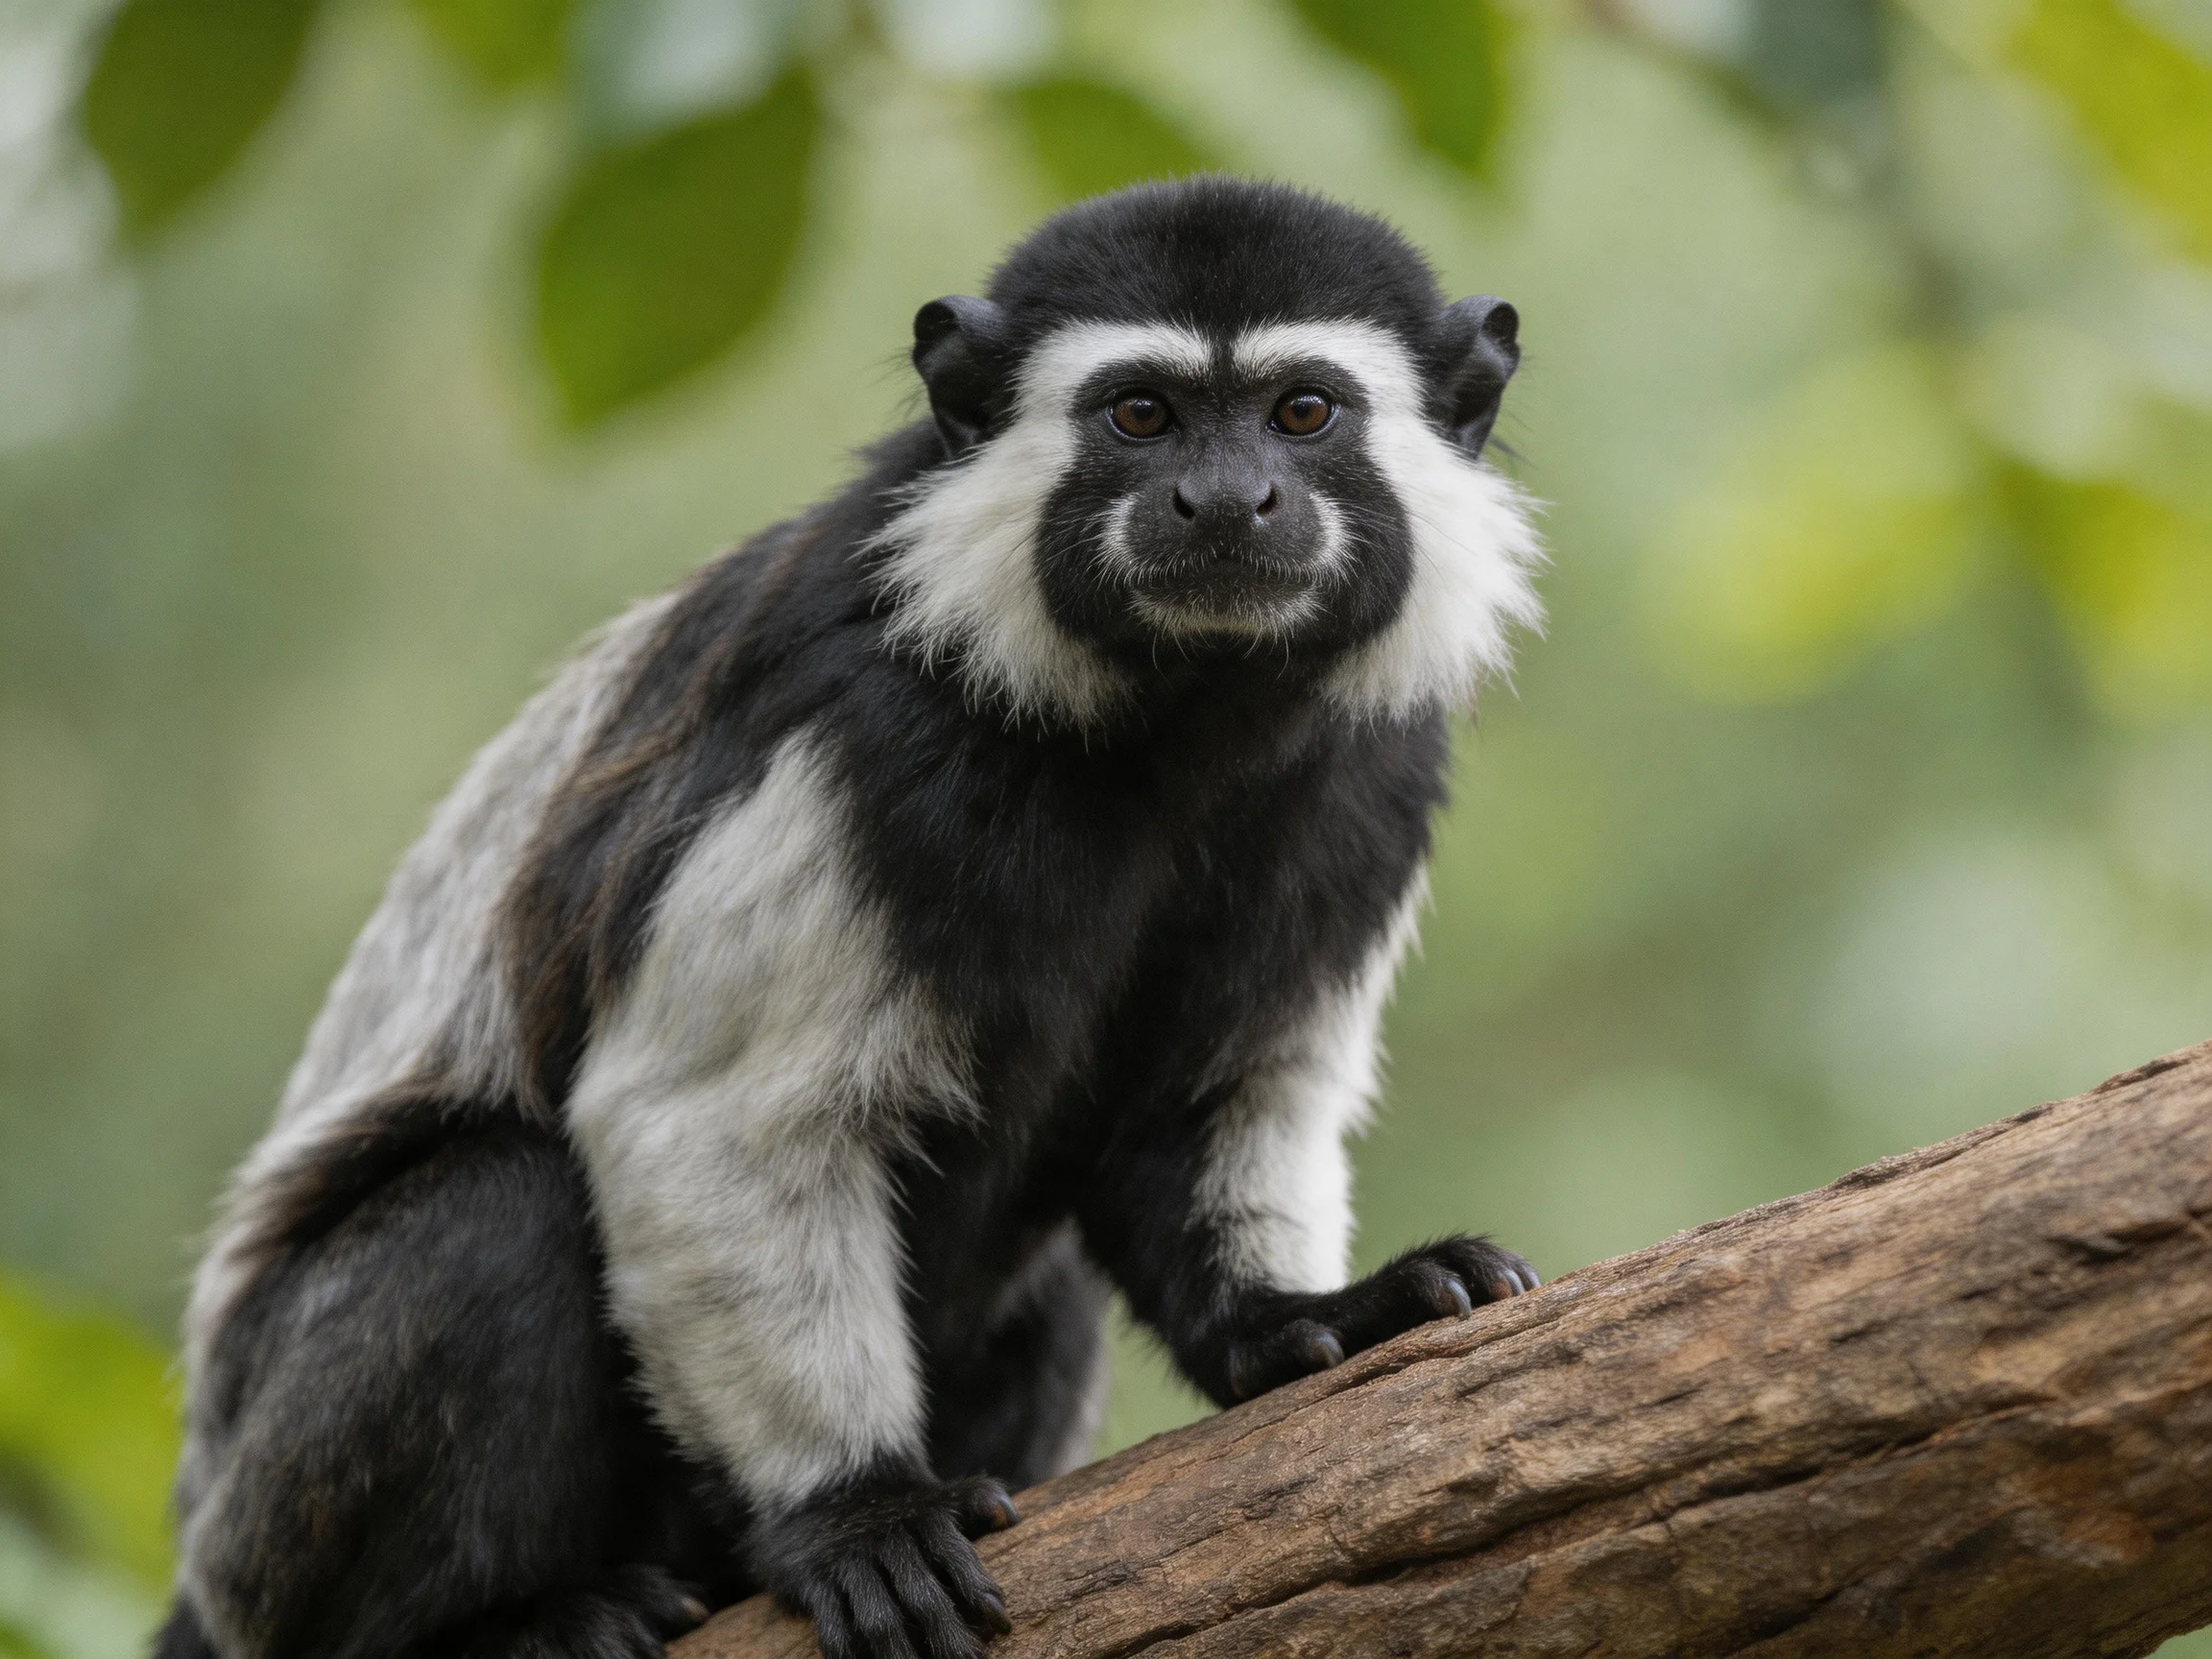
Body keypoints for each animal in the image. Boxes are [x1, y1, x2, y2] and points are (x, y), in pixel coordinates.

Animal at [153, 176, 1545, 1659]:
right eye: (1140, 417)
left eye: (1302, 413)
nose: (1225, 502)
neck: (1172, 729)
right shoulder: (858, 726)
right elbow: (708, 1124)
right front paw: (854, 1515)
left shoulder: (1374, 778)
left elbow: (1220, 1092)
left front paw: (1300, 1319)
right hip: (265, 1530)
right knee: (496, 1205)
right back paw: (504, 1620)